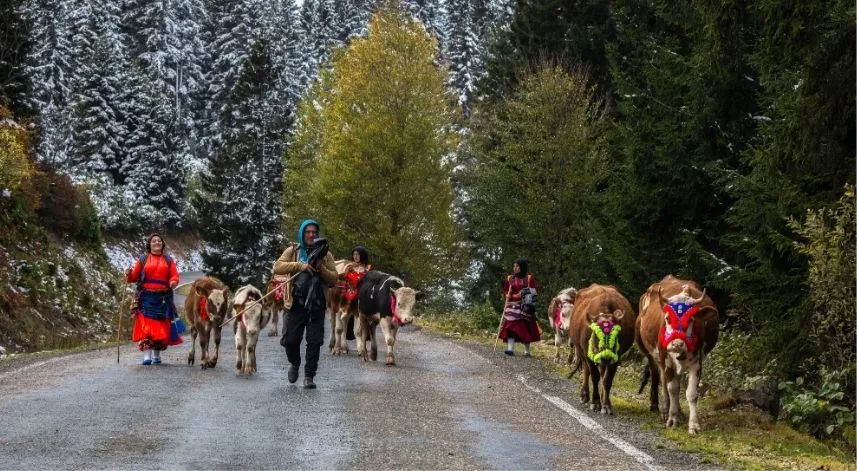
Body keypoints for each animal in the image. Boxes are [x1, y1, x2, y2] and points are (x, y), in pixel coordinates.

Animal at [568, 284, 636, 412]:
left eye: (616, 335)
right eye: (595, 334)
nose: (605, 357)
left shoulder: (616, 358)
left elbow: (607, 380)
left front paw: (606, 404)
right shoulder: (589, 355)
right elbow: (595, 377)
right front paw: (595, 402)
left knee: (602, 373)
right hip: (581, 351)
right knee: (587, 371)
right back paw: (584, 395)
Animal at [632, 276, 720, 436]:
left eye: (691, 319)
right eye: (667, 318)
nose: (677, 344)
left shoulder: (697, 362)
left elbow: (691, 393)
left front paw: (693, 424)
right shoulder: (666, 359)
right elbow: (672, 388)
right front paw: (672, 419)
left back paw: (678, 412)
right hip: (651, 354)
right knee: (660, 378)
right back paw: (662, 409)